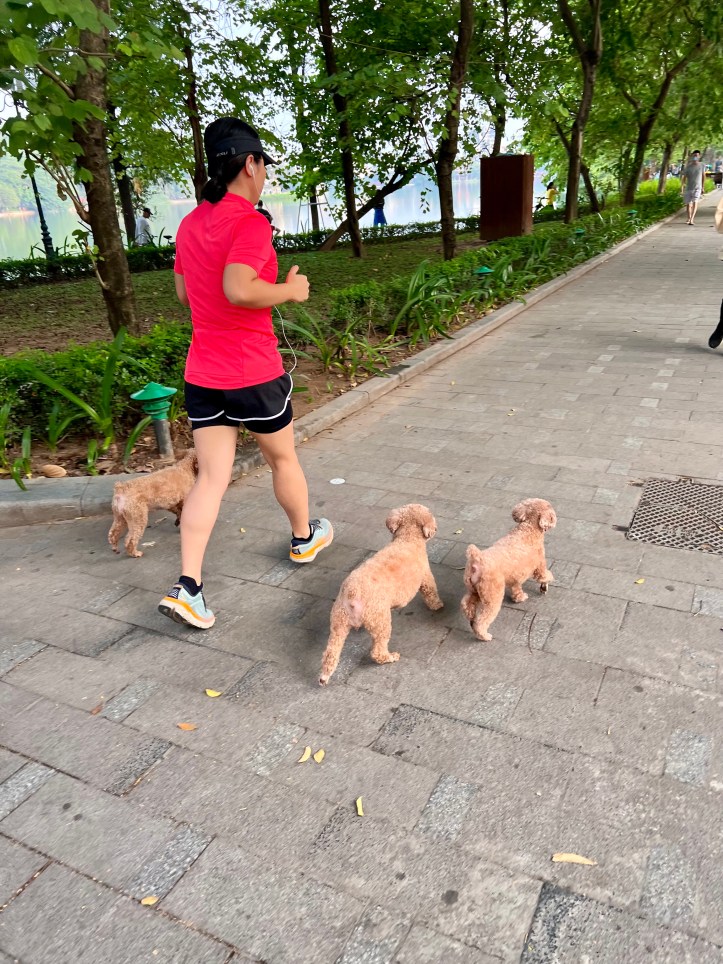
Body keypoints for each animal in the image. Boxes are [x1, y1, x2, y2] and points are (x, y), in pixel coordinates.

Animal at [319, 504, 443, 685]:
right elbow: (431, 592)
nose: (435, 529)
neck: (407, 538)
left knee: (330, 652)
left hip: (338, 621)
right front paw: (438, 605)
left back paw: (324, 676)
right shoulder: (426, 576)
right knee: (377, 651)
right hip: (380, 620)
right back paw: (390, 657)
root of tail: (352, 593)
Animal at [461, 498, 556, 641]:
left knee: (466, 603)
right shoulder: (539, 565)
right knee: (482, 620)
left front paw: (519, 598)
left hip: (474, 589)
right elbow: (545, 576)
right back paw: (484, 636)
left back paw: (470, 615)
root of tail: (477, 558)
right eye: (549, 507)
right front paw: (544, 586)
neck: (528, 528)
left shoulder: (516, 575)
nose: (555, 519)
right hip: (492, 596)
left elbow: (516, 588)